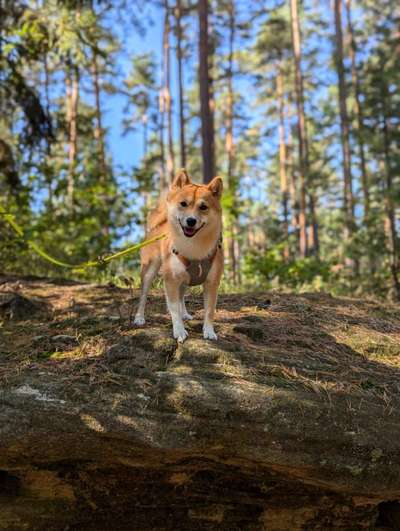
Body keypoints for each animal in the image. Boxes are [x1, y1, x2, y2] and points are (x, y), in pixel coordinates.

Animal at [134, 170, 222, 344]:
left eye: (203, 207)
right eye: (183, 204)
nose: (191, 220)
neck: (194, 247)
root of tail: (159, 224)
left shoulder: (212, 283)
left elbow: (209, 311)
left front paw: (209, 331)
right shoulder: (171, 280)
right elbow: (173, 308)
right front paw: (179, 330)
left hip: (185, 279)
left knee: (182, 296)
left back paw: (185, 313)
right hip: (150, 271)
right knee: (143, 296)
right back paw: (139, 317)